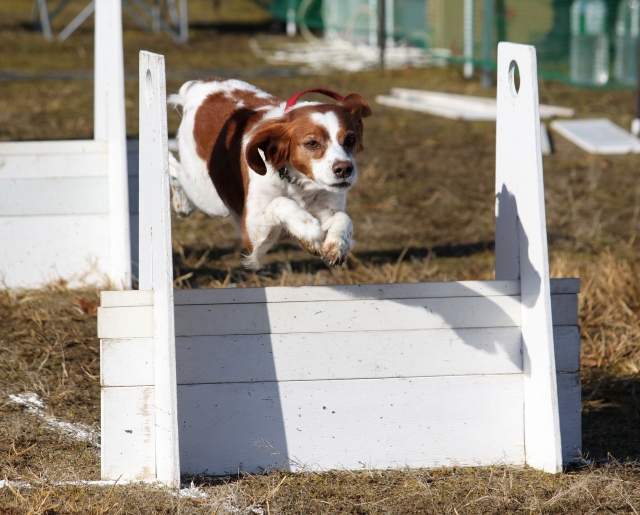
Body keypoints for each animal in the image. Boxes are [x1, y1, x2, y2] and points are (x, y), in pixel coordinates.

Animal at [168, 78, 372, 270]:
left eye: (350, 140)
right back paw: (181, 202)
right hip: (208, 197)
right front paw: (309, 230)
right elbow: (281, 202)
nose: (344, 169)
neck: (298, 183)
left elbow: (343, 217)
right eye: (312, 143)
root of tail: (197, 85)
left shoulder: (327, 209)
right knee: (175, 169)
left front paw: (338, 244)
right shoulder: (250, 233)